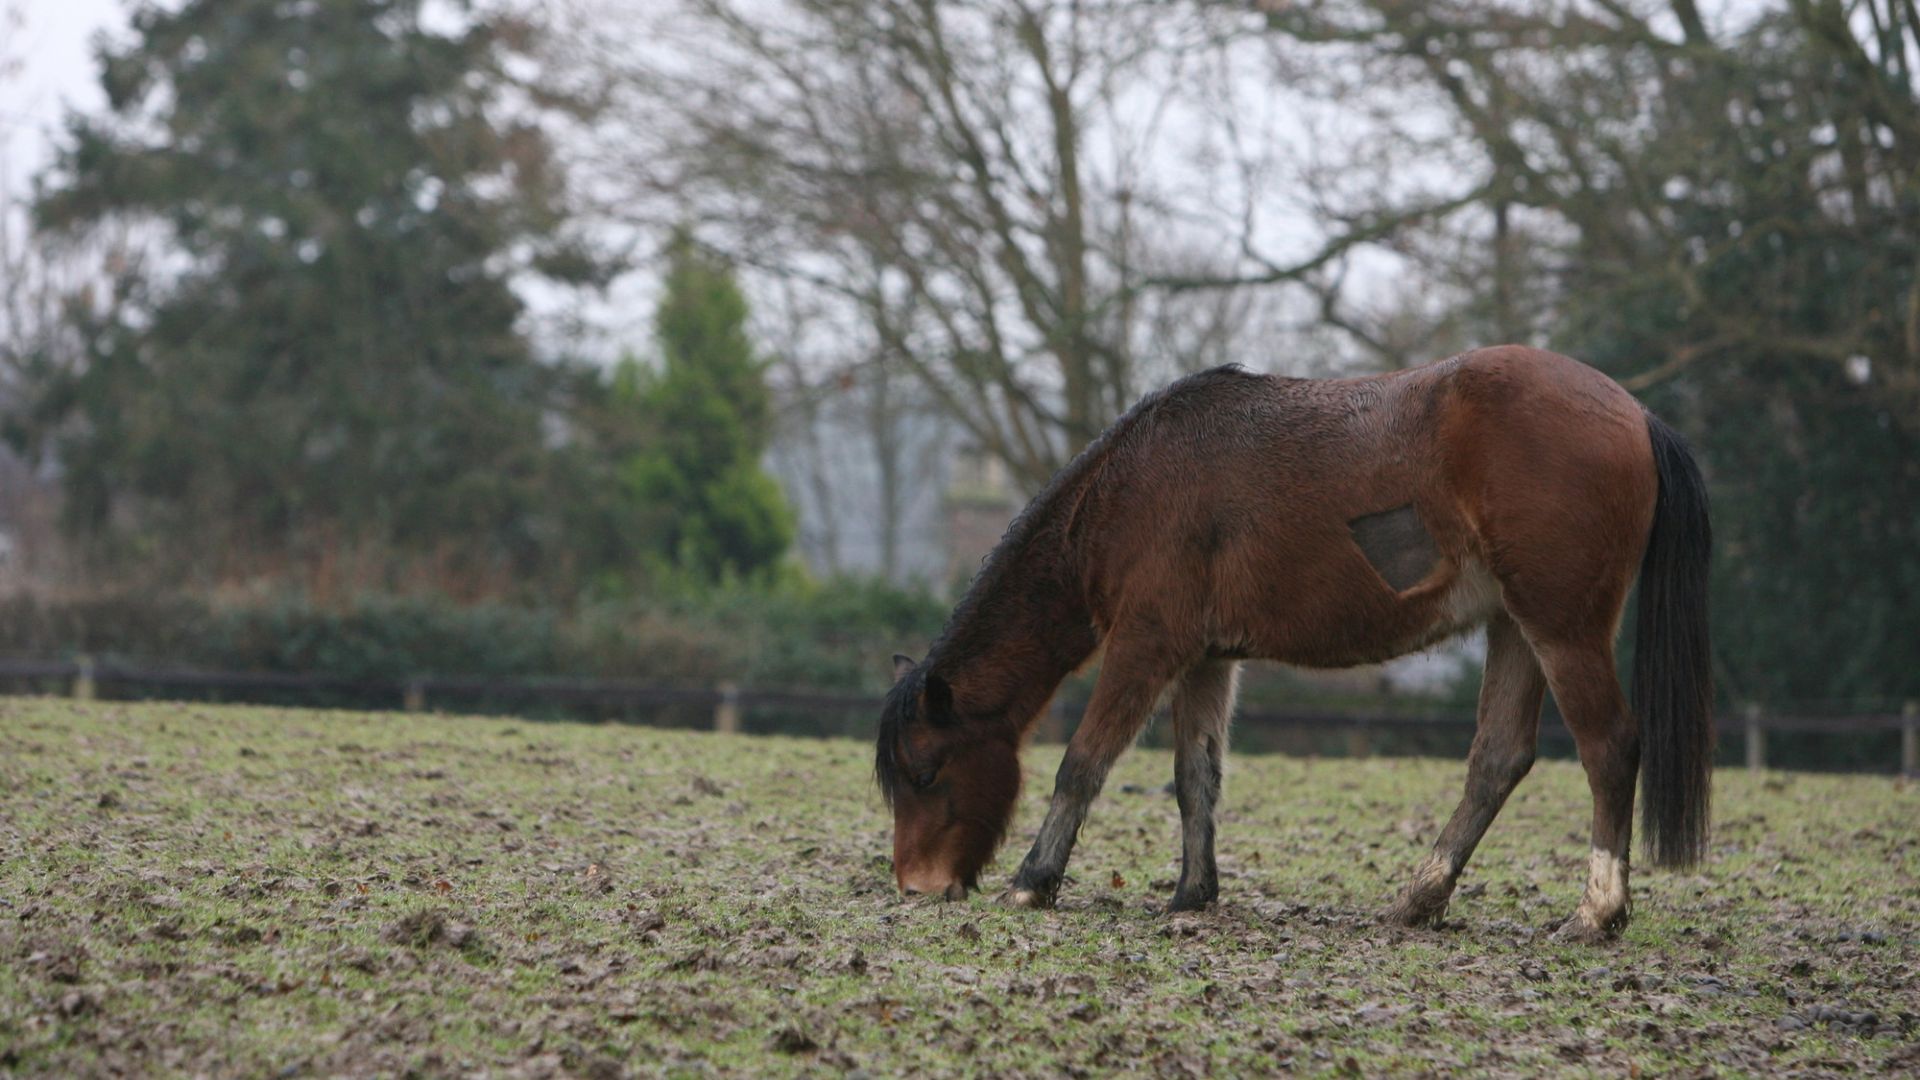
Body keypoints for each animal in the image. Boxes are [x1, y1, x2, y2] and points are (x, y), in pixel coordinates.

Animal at [879, 345, 1720, 941]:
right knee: (1498, 759)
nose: (917, 884)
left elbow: (1082, 765)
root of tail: (1635, 412)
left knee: (1609, 747)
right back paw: (1418, 900)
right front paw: (1191, 894)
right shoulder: (1206, 660)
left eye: (925, 772)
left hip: (1560, 629)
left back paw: (1595, 912)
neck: (1134, 487)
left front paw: (1034, 880)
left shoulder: (1145, 647)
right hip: (1515, 627)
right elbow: (1195, 778)